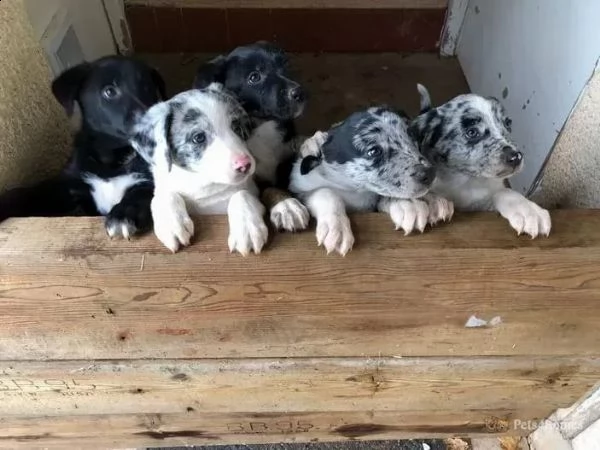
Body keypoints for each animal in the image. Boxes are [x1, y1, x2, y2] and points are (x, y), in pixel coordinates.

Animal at [0, 55, 166, 239]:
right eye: (109, 91)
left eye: (148, 88)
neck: (114, 162)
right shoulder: (66, 185)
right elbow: (26, 192)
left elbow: (141, 192)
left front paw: (123, 215)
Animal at [131, 82, 268, 255]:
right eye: (199, 138)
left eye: (236, 127)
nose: (245, 165)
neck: (202, 184)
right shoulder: (163, 186)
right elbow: (163, 196)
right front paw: (173, 224)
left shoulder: (251, 190)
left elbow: (242, 194)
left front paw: (248, 230)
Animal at [195, 41, 312, 232]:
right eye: (254, 77)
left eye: (284, 65)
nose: (299, 92)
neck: (261, 127)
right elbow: (269, 189)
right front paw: (286, 206)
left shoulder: (286, 157)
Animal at [288, 103, 452, 255]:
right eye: (373, 151)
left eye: (413, 139)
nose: (430, 173)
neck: (355, 191)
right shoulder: (301, 189)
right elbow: (326, 193)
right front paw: (337, 227)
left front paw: (413, 202)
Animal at [410, 85, 552, 239]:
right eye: (472, 132)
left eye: (508, 123)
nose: (516, 157)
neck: (464, 180)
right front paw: (432, 202)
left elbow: (505, 192)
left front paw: (529, 210)